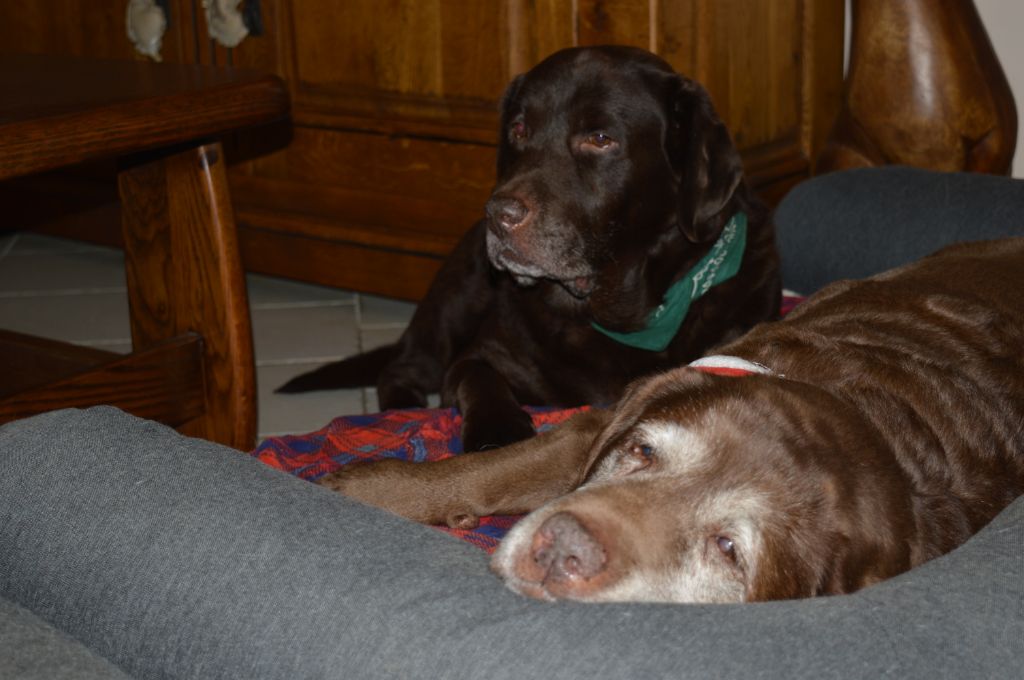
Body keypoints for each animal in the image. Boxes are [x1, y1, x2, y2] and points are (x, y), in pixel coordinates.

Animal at [323, 236, 1024, 602]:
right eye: (642, 452)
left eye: (729, 549)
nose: (563, 547)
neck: (881, 422)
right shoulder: (595, 428)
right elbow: (485, 471)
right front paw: (363, 487)